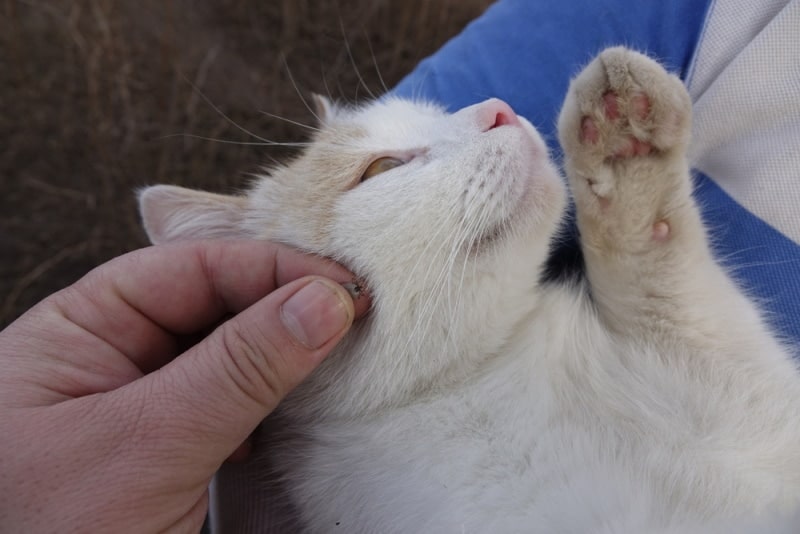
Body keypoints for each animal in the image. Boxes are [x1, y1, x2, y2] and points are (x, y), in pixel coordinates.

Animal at [138, 48, 800, 532]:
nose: (498, 108)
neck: (475, 388)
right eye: (381, 168)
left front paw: (624, 155)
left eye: (439, 109)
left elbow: (667, 283)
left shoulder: (755, 414)